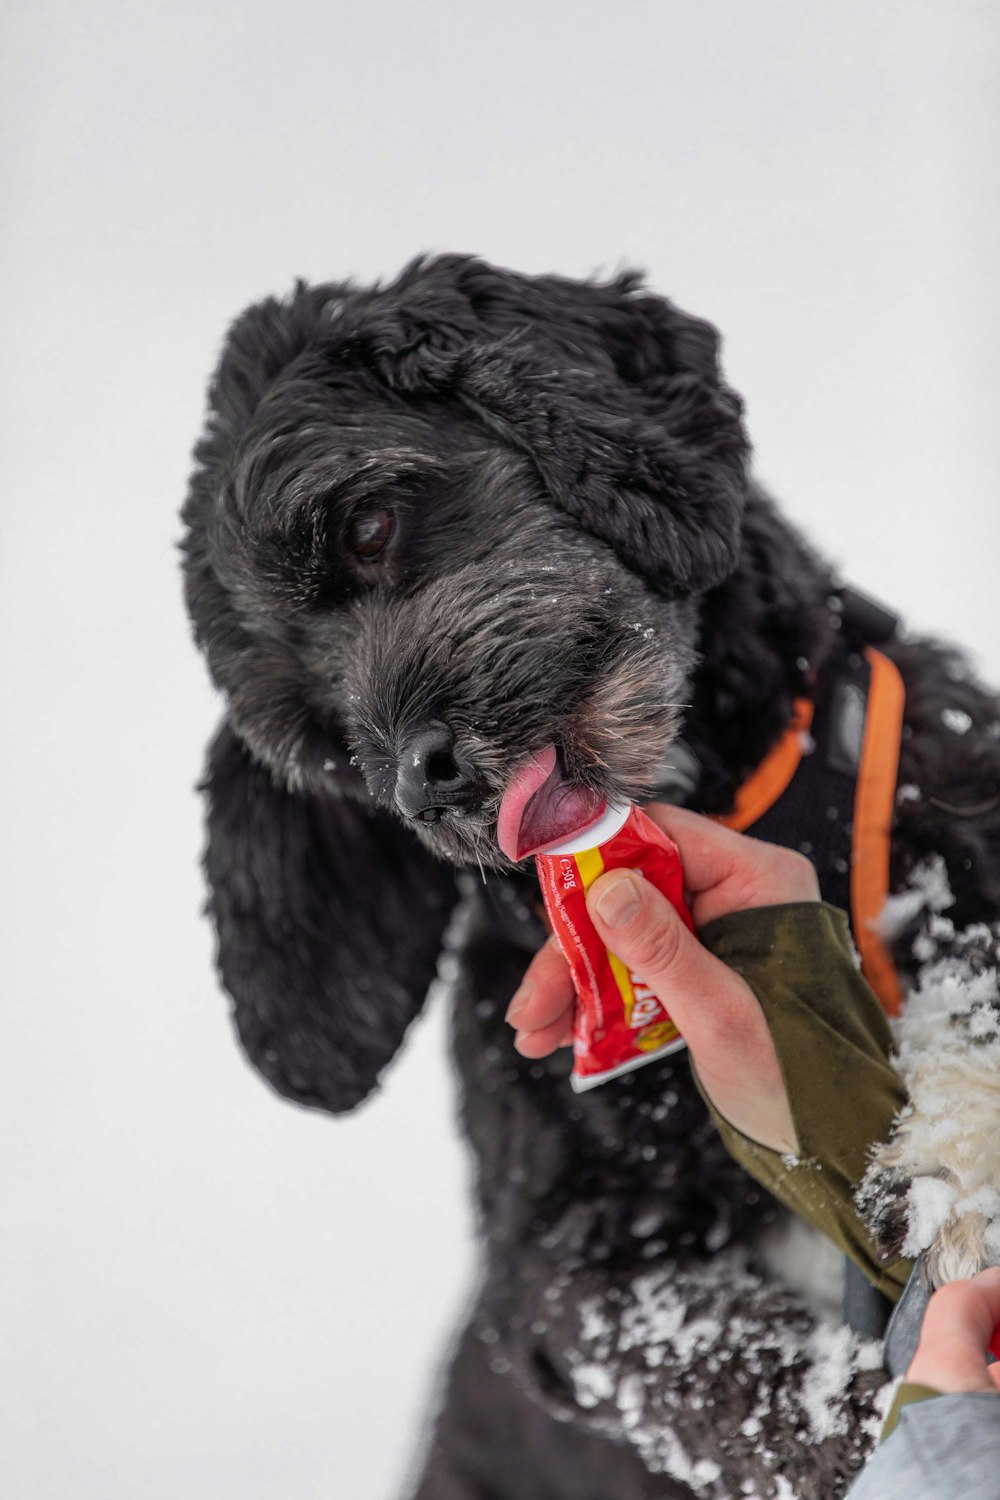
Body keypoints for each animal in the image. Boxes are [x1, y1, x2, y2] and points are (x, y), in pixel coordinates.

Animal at [179, 252, 1000, 1494]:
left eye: (368, 524)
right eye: (325, 745)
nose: (421, 779)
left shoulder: (951, 797)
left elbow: (971, 962)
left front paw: (959, 1167)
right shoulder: (566, 1281)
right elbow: (751, 1392)